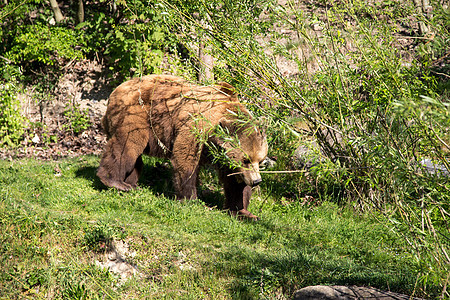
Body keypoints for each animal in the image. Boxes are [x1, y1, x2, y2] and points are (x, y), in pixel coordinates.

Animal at [97, 74, 268, 220]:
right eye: (246, 159)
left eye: (260, 160)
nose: (257, 181)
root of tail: (116, 90)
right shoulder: (196, 129)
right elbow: (186, 159)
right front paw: (190, 198)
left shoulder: (221, 154)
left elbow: (234, 181)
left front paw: (244, 212)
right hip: (136, 114)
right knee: (126, 145)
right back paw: (116, 182)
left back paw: (132, 183)